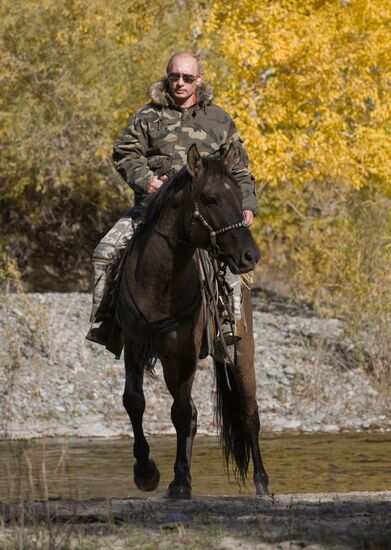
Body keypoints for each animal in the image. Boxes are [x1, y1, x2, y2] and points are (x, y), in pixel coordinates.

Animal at [116, 144, 270, 498]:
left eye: (239, 195)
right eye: (210, 198)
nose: (250, 256)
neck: (158, 282)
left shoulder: (184, 353)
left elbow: (181, 413)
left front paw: (180, 481)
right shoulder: (134, 345)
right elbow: (135, 401)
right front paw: (146, 472)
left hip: (241, 355)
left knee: (249, 413)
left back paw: (262, 484)